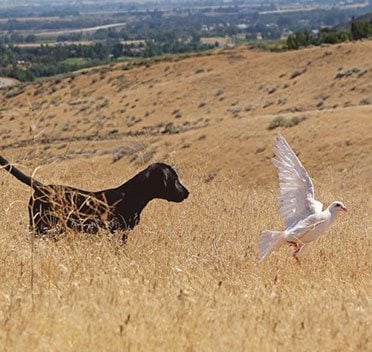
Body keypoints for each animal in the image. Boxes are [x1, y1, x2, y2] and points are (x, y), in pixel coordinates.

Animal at [0, 156, 186, 241]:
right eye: (175, 179)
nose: (187, 193)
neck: (132, 195)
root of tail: (41, 187)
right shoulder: (116, 231)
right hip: (42, 227)